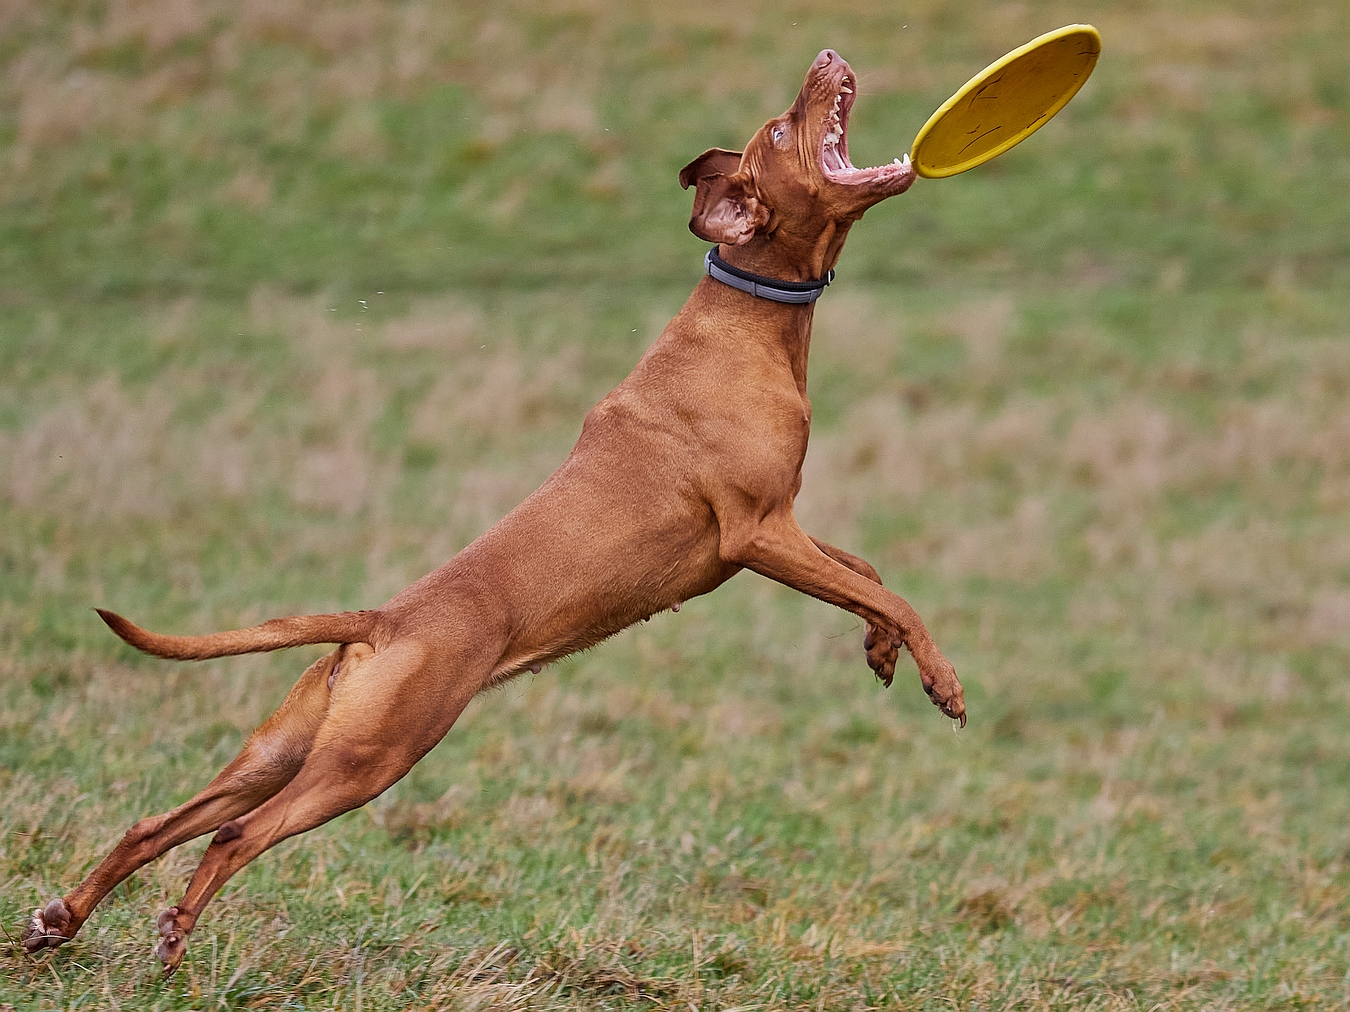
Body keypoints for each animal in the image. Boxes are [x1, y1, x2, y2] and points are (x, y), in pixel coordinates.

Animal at [26, 49, 966, 976]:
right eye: (779, 129)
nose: (827, 56)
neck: (747, 320)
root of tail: (380, 623)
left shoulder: (780, 526)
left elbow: (868, 573)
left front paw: (883, 652)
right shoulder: (758, 532)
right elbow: (891, 591)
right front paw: (941, 678)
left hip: (284, 749)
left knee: (155, 825)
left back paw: (59, 921)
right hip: (369, 759)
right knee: (231, 837)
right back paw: (174, 931)